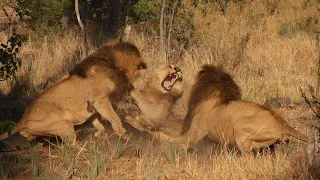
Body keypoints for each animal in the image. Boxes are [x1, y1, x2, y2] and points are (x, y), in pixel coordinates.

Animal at [0, 41, 147, 144]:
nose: (133, 86)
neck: (113, 64)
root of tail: (21, 121)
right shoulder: (99, 99)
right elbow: (114, 117)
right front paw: (122, 132)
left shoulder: (93, 106)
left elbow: (99, 124)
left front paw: (98, 135)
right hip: (62, 120)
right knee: (72, 147)